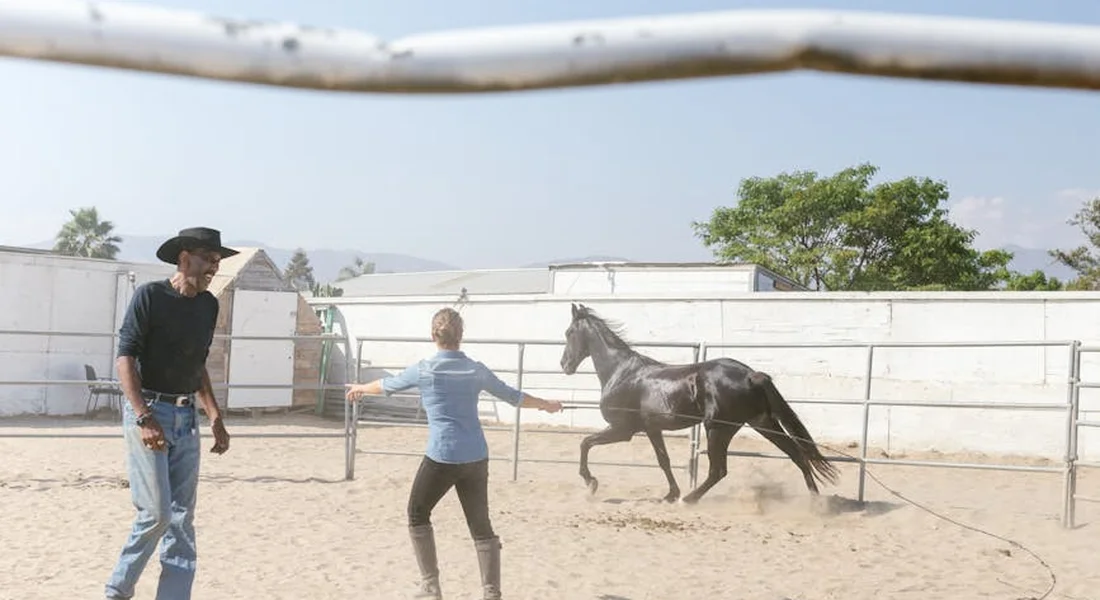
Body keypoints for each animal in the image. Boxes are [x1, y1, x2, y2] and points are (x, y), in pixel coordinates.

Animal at [558, 302, 839, 504]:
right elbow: (663, 460)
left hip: (717, 428)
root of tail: (751, 374)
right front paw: (670, 494)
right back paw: (815, 503)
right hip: (762, 423)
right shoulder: (652, 428)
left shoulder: (624, 429)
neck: (622, 372)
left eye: (569, 332)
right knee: (797, 454)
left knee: (718, 470)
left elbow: (585, 443)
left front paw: (591, 483)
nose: (564, 365)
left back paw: (689, 499)